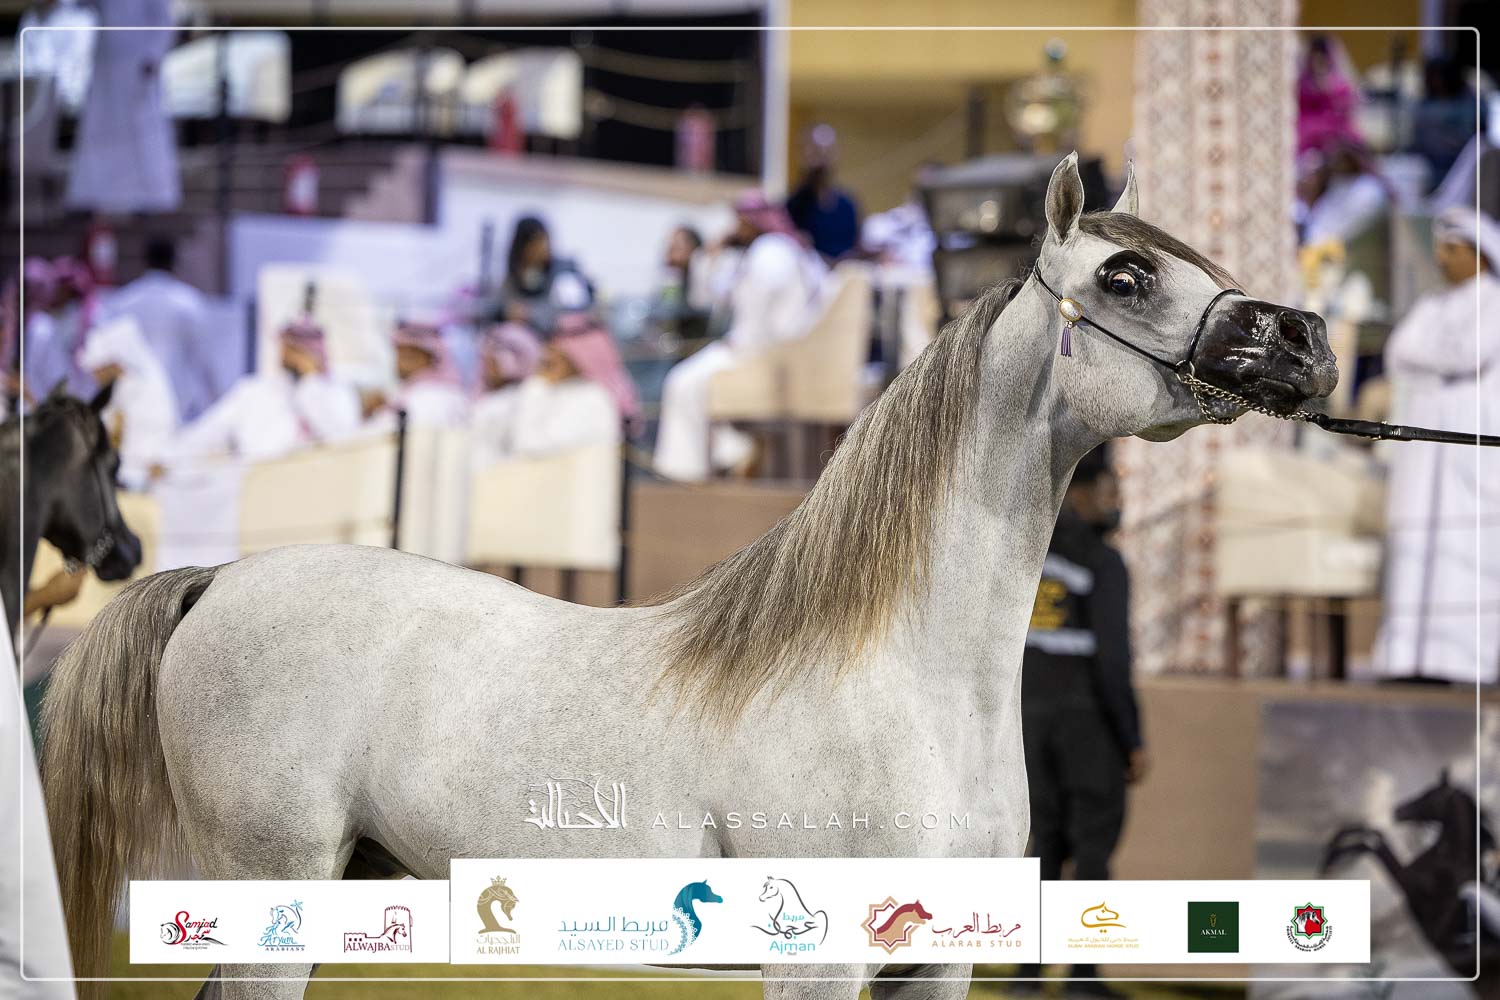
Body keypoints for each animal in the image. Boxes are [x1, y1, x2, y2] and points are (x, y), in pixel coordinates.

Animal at [41, 153, 1338, 1000]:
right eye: (1123, 276)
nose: (1308, 340)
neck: (900, 681)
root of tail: (215, 581)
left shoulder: (941, 962)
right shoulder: (820, 966)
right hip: (272, 892)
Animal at [1321, 768, 1499, 988]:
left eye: (1429, 794)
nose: (1398, 810)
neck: (1451, 859)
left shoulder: (1406, 880)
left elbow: (1374, 844)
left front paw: (1329, 861)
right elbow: (1373, 834)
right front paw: (1332, 850)